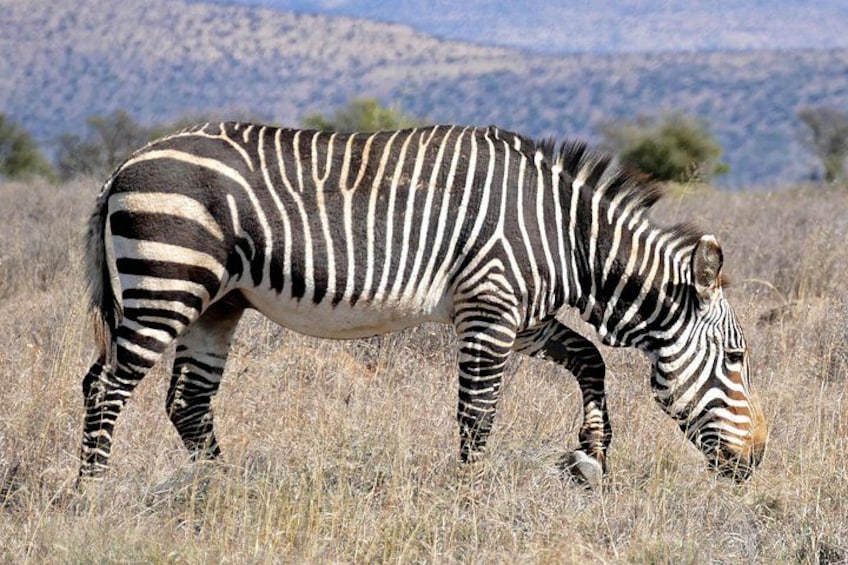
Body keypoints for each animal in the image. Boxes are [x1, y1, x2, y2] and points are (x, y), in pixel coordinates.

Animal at [78, 122, 767, 485]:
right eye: (736, 359)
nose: (758, 459)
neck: (568, 237)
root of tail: (124, 165)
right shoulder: (489, 310)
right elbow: (477, 416)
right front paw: (472, 499)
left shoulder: (523, 317)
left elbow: (590, 360)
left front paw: (590, 457)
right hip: (167, 283)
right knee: (106, 388)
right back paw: (94, 495)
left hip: (216, 304)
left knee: (186, 402)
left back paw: (223, 490)